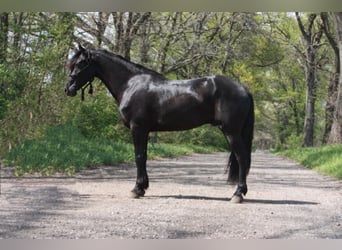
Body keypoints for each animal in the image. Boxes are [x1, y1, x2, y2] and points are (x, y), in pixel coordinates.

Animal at [65, 44, 254, 202]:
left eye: (81, 63)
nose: (68, 89)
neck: (130, 84)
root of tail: (244, 89)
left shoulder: (138, 128)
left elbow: (139, 157)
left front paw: (136, 189)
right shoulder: (145, 131)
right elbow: (144, 156)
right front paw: (143, 187)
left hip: (231, 132)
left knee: (242, 158)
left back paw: (238, 194)